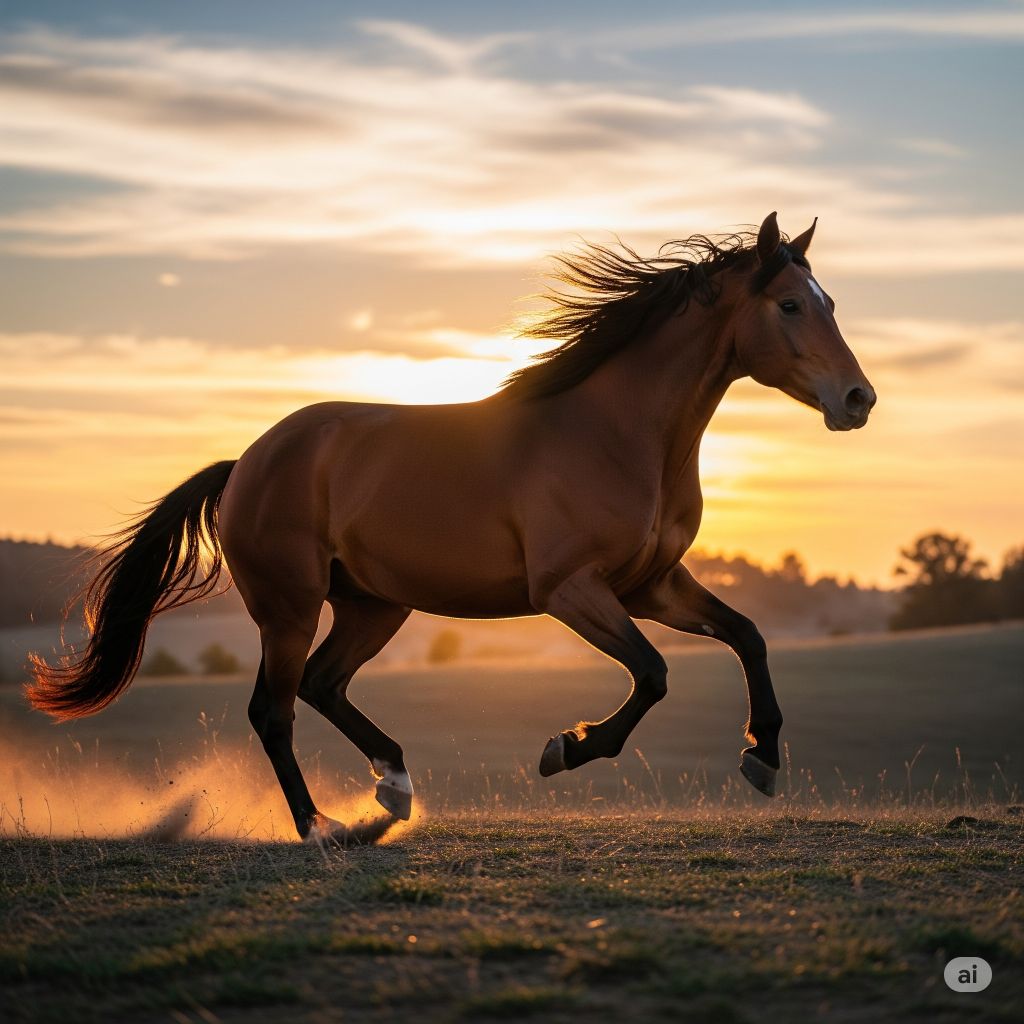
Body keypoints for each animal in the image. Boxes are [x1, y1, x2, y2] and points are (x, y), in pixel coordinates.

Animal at [28, 212, 876, 843]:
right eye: (790, 305)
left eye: (830, 303)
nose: (858, 399)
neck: (615, 433)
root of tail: (247, 463)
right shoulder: (570, 590)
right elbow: (654, 674)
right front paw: (566, 749)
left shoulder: (653, 585)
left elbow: (747, 636)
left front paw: (763, 757)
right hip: (289, 608)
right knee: (274, 708)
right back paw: (321, 827)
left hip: (374, 605)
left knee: (324, 684)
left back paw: (394, 788)